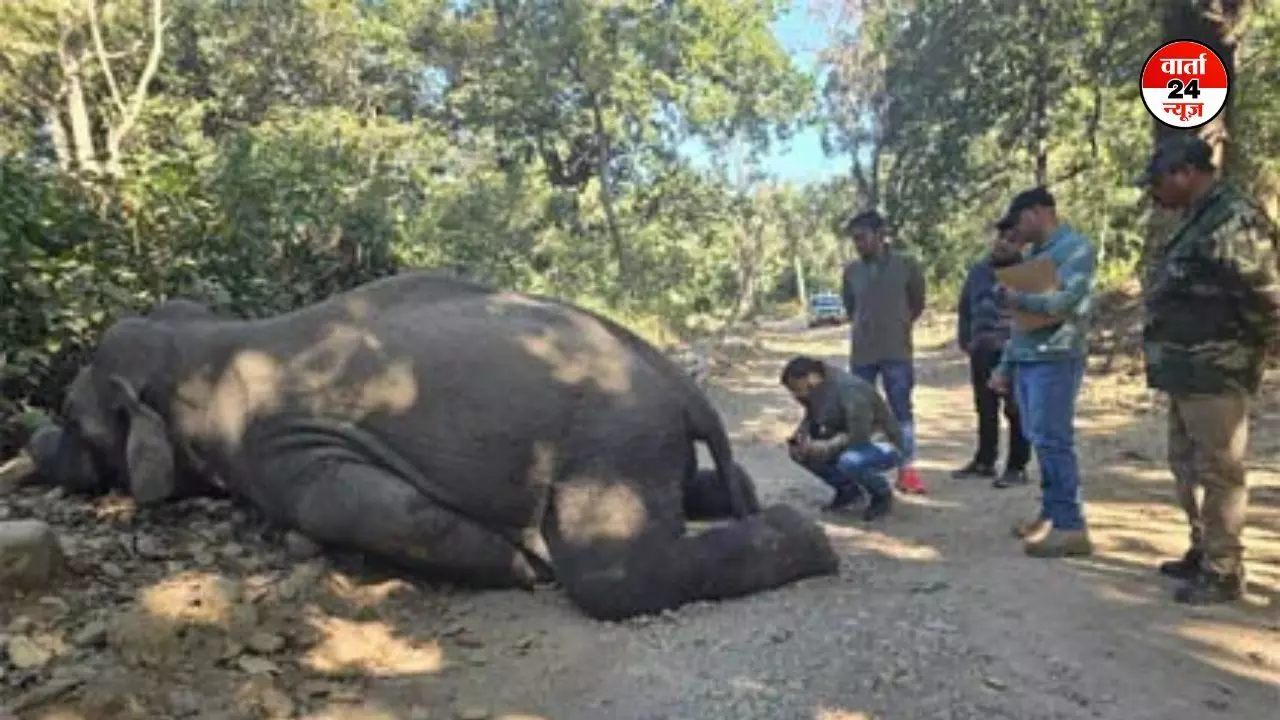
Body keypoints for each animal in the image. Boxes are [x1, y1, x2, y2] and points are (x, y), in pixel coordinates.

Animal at [24, 269, 839, 617]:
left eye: (71, 418)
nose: (30, 443)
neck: (205, 347)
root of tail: (676, 378)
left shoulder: (283, 444)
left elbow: (341, 503)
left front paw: (524, 567)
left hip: (612, 431)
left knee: (616, 575)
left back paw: (815, 545)